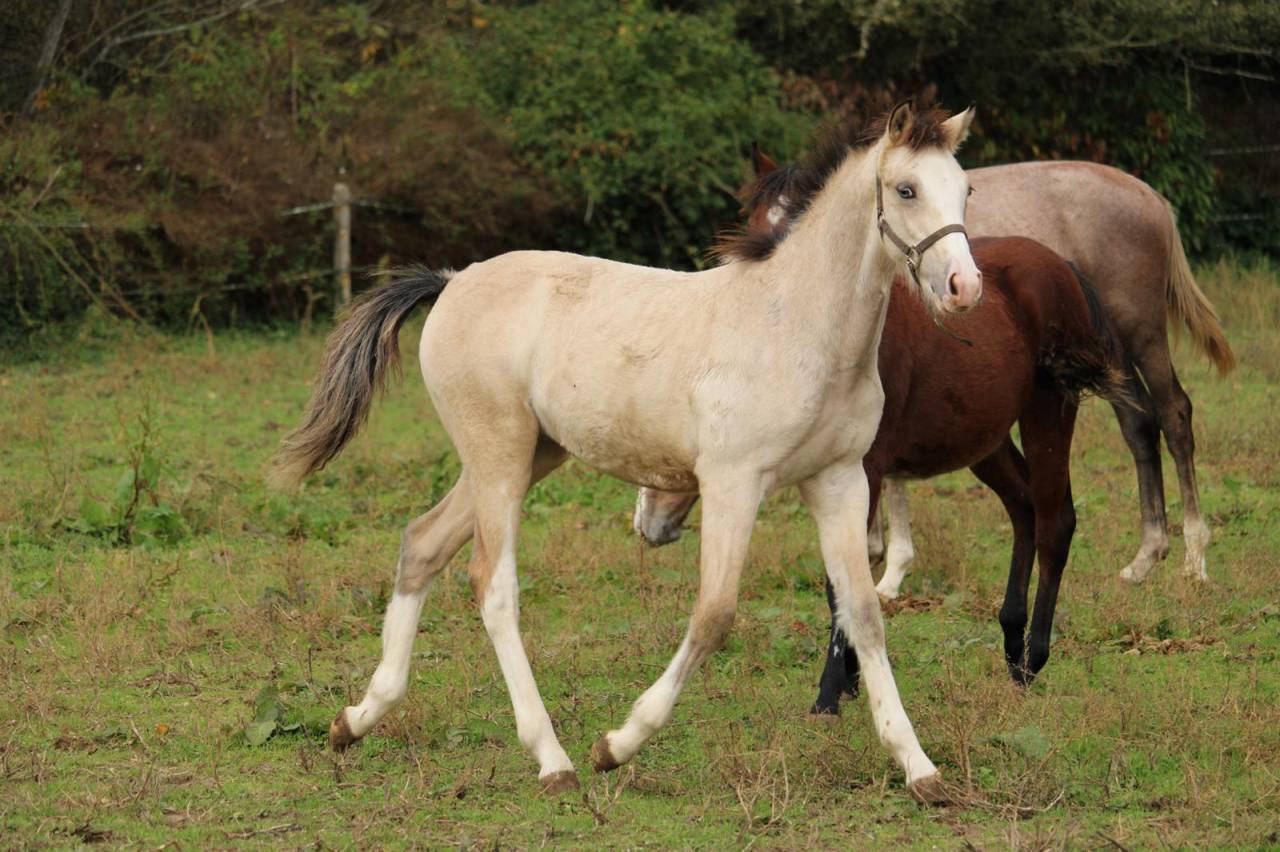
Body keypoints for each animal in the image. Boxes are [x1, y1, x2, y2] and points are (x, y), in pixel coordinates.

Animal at [272, 103, 979, 801]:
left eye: (965, 189)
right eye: (905, 189)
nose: (964, 287)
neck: (797, 326)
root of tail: (451, 282)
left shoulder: (839, 480)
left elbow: (863, 614)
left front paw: (919, 767)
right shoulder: (733, 482)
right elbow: (714, 614)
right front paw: (617, 745)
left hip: (529, 456)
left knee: (421, 544)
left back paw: (356, 720)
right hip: (498, 454)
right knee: (493, 585)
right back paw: (552, 758)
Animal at [744, 149, 1233, 589]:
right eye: (756, 230)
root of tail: (1152, 198)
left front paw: (891, 569)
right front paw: (877, 554)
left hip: (1141, 333)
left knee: (1174, 416)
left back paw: (1194, 556)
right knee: (1138, 426)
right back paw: (1147, 555)